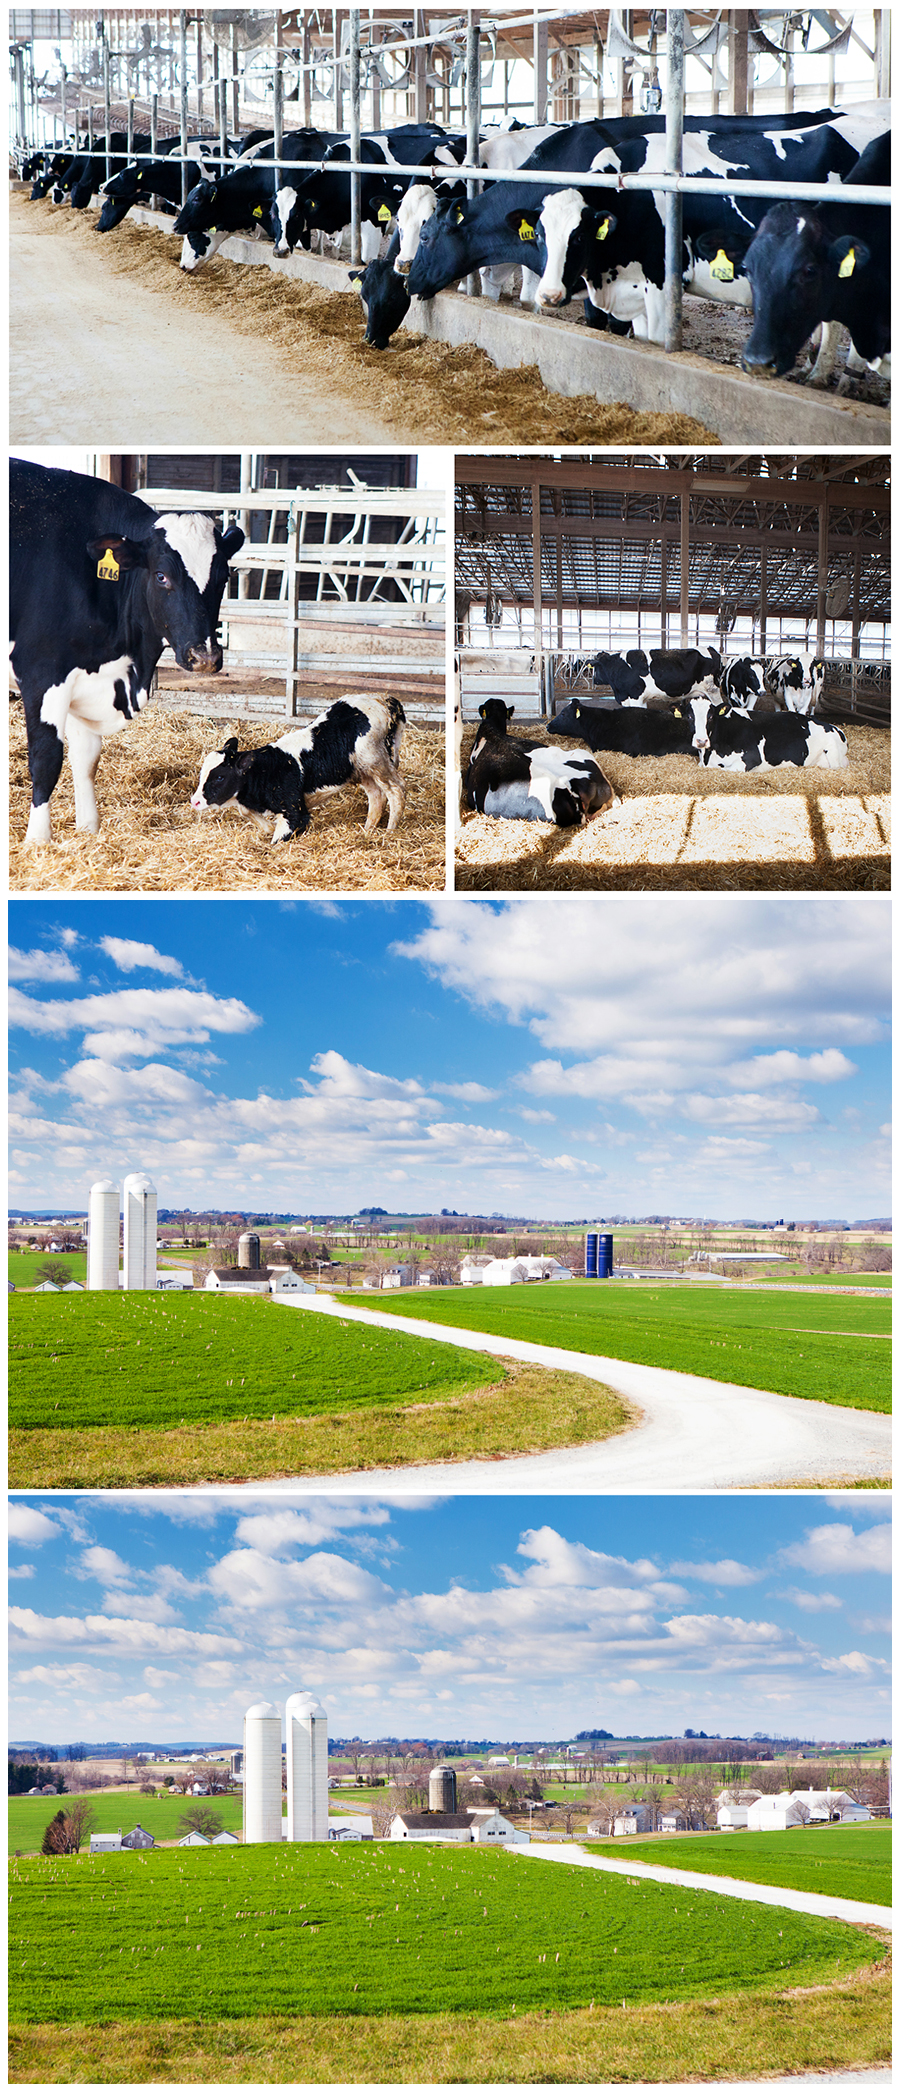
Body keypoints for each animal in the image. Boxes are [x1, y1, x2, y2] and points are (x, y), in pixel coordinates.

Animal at [8, 458, 245, 841]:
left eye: (224, 577)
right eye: (162, 576)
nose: (205, 656)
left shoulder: (87, 671)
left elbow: (86, 757)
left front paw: (89, 829)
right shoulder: (42, 672)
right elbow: (46, 757)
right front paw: (38, 841)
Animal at [191, 695, 406, 841]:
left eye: (219, 777)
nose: (195, 801)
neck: (268, 769)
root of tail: (385, 699)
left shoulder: (295, 812)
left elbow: (278, 839)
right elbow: (246, 812)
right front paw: (268, 827)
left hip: (376, 761)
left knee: (396, 791)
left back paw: (390, 831)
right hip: (362, 770)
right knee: (376, 796)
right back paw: (368, 829)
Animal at [686, 699, 845, 774]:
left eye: (711, 716)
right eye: (689, 716)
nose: (701, 741)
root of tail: (834, 727)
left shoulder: (751, 758)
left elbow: (722, 769)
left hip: (833, 756)